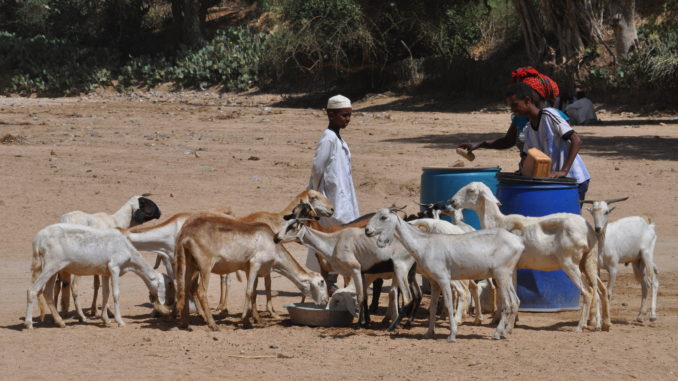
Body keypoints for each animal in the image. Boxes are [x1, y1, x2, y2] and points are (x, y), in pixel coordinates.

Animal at [26, 224, 170, 328]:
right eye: (169, 285)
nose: (167, 311)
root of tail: (38, 239)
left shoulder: (105, 272)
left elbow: (105, 293)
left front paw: (105, 319)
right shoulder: (115, 267)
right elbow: (116, 294)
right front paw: (120, 321)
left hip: (53, 269)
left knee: (47, 293)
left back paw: (60, 322)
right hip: (50, 266)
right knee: (32, 290)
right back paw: (28, 324)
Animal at [366, 208, 524, 342]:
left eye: (383, 217)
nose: (367, 230)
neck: (425, 244)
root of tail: (519, 242)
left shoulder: (444, 279)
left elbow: (448, 304)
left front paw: (452, 335)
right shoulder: (434, 282)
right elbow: (433, 307)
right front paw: (429, 333)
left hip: (501, 275)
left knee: (508, 303)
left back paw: (497, 333)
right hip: (507, 276)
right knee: (515, 300)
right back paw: (506, 331)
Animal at [452, 181, 612, 330]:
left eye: (471, 190)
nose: (452, 201)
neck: (498, 222)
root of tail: (588, 230)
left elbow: (504, 293)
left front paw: (504, 321)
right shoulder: (513, 267)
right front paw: (511, 319)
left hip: (570, 263)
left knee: (588, 292)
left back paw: (580, 326)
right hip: (587, 261)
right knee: (600, 290)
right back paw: (604, 324)